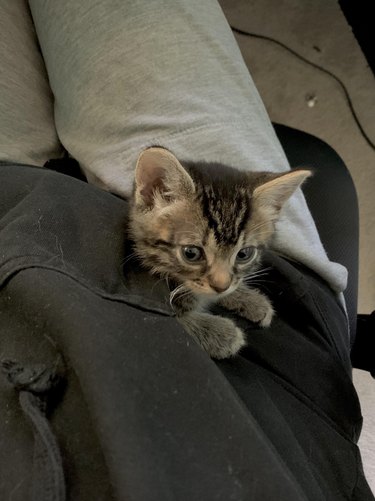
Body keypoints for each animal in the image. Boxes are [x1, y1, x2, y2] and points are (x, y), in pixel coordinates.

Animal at [129, 146, 312, 358]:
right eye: (191, 253)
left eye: (244, 254)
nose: (221, 286)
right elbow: (179, 322)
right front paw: (222, 334)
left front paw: (251, 300)